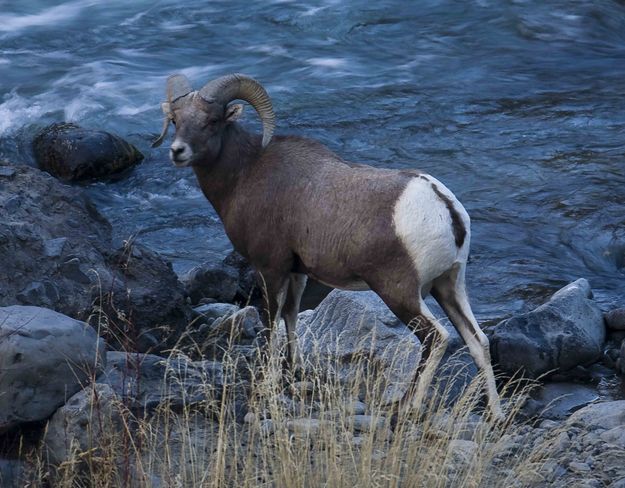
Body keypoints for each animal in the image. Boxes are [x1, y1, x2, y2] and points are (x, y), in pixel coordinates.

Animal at [155, 74, 502, 418]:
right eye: (176, 120)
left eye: (212, 121)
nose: (178, 151)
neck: (245, 174)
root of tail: (444, 207)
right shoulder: (297, 272)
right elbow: (291, 317)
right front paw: (291, 372)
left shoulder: (270, 268)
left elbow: (270, 324)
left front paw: (268, 383)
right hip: (449, 286)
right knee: (478, 341)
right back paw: (494, 415)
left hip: (399, 291)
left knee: (435, 338)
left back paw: (406, 407)